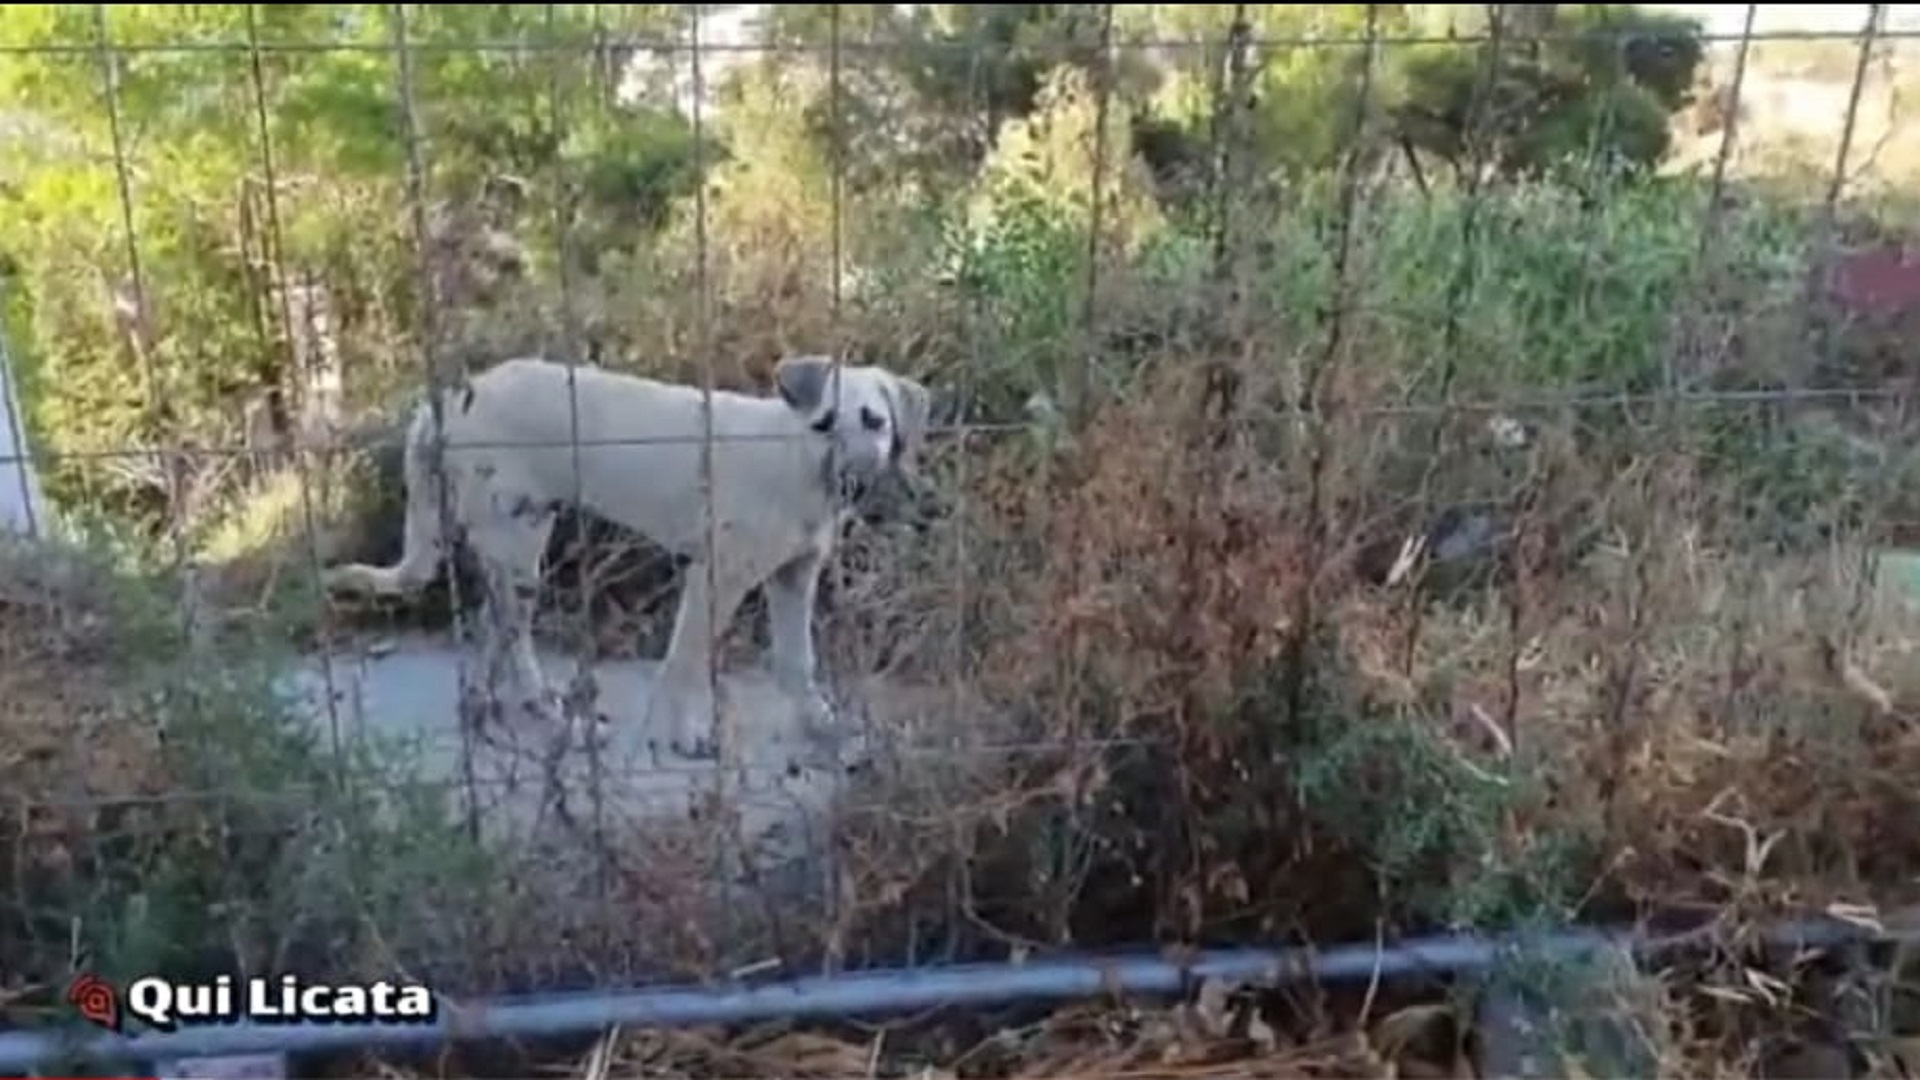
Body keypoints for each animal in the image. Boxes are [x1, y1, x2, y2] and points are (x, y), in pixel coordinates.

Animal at [320, 353, 929, 757]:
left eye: (875, 420)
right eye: (825, 424)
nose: (855, 478)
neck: (794, 457)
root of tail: (451, 398)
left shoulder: (793, 576)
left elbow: (798, 662)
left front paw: (821, 722)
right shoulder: (715, 575)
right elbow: (685, 662)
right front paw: (685, 734)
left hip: (518, 548)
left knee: (492, 630)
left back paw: (510, 715)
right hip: (519, 547)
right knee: (510, 637)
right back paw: (558, 724)